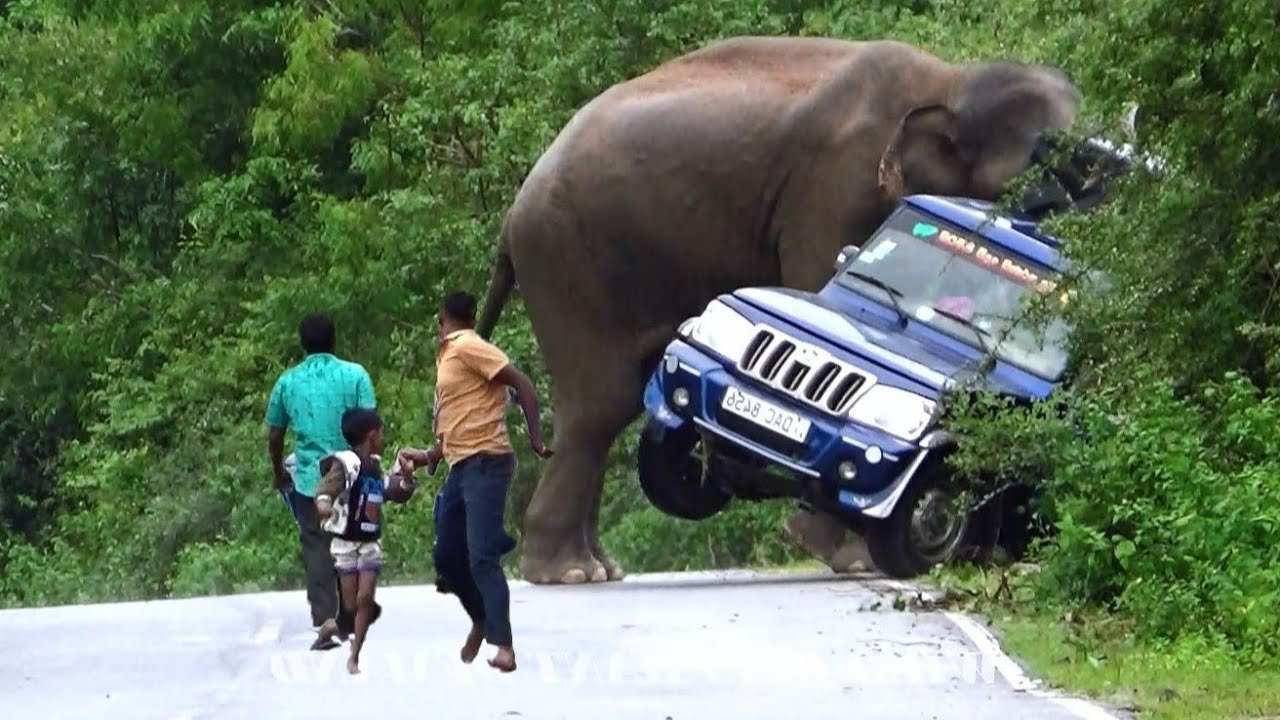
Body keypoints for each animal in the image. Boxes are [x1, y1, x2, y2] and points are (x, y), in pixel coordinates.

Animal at [474, 36, 1093, 585]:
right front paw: (854, 561)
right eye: (1051, 167)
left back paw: (597, 569)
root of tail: (511, 217)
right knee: (601, 404)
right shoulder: (833, 189)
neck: (954, 81)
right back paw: (570, 573)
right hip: (569, 264)